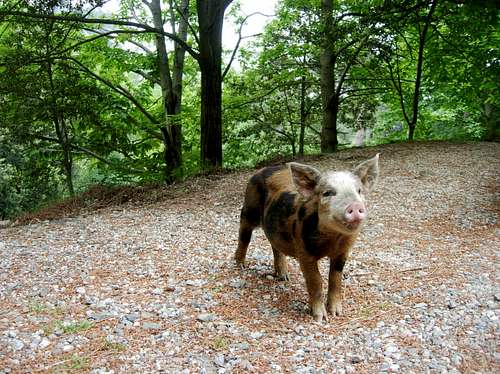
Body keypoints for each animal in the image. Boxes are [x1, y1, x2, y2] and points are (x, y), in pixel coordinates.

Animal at [234, 155, 378, 322]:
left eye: (359, 191)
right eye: (327, 193)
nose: (354, 205)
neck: (333, 239)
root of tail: (264, 169)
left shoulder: (343, 253)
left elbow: (335, 279)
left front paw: (337, 313)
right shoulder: (303, 252)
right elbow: (315, 281)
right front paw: (320, 318)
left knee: (274, 245)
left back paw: (284, 277)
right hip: (248, 209)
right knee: (244, 236)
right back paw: (240, 266)